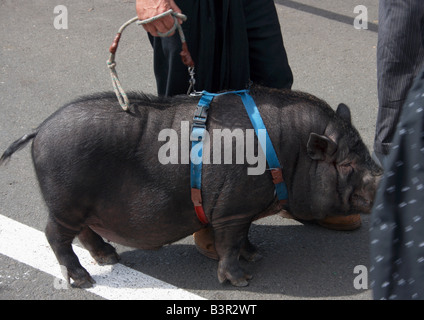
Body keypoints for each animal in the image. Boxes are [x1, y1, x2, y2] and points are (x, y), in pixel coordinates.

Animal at [0, 85, 382, 288]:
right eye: (346, 165)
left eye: (363, 150)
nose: (381, 175)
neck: (285, 154)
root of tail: (39, 129)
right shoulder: (232, 208)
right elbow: (228, 242)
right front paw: (241, 280)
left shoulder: (243, 210)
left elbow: (244, 236)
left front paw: (256, 254)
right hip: (66, 203)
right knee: (55, 235)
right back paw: (84, 280)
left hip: (80, 206)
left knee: (83, 232)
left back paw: (109, 256)